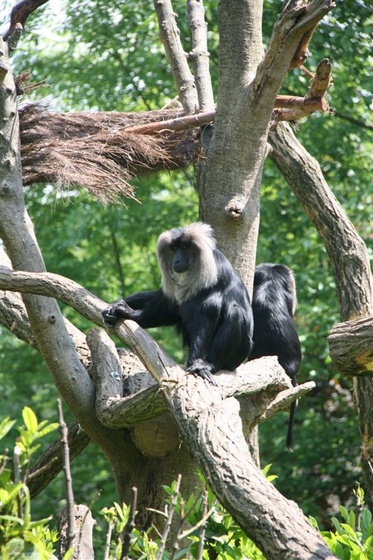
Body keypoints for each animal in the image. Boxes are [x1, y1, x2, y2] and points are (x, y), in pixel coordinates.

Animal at [101, 222, 253, 384]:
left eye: (185, 247)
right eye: (174, 249)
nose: (177, 260)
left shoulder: (216, 277)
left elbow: (206, 319)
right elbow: (164, 306)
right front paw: (118, 309)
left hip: (238, 355)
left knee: (236, 314)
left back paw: (208, 364)